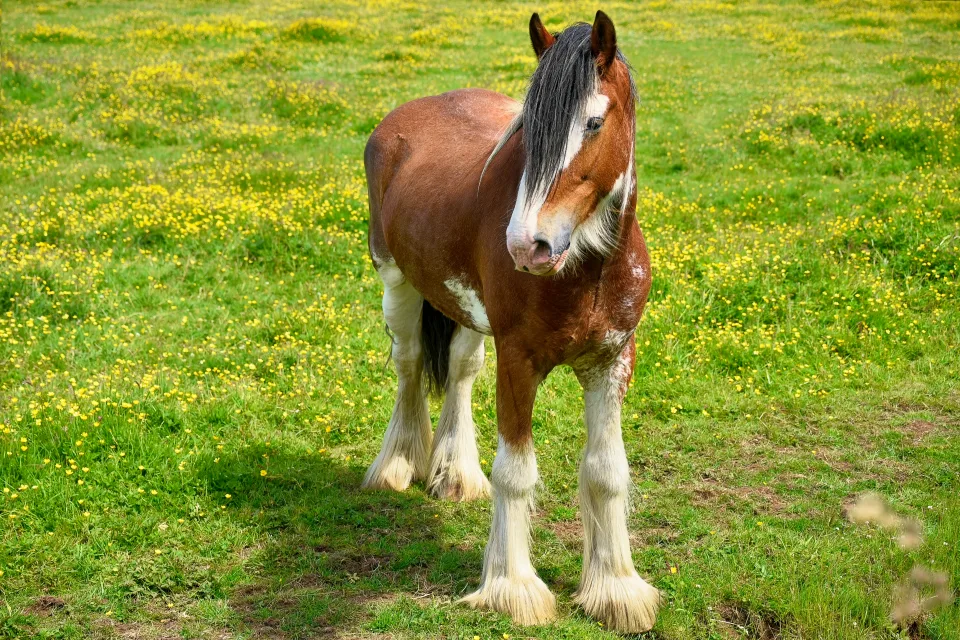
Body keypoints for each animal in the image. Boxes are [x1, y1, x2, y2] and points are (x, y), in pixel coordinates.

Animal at [361, 11, 659, 633]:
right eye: (528, 132)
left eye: (594, 121)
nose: (528, 245)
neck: (586, 267)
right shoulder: (519, 361)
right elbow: (516, 473)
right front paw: (513, 589)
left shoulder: (613, 360)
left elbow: (606, 471)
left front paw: (616, 589)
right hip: (396, 281)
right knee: (408, 364)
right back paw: (398, 463)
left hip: (466, 312)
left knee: (459, 369)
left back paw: (455, 474)